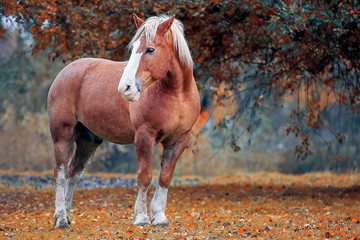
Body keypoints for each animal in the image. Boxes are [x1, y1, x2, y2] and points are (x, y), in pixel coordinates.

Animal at [46, 13, 201, 229]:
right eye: (133, 47)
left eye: (150, 49)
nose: (125, 88)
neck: (177, 93)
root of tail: (65, 72)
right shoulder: (144, 136)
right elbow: (144, 177)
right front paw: (141, 217)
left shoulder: (179, 140)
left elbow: (165, 177)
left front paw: (159, 217)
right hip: (63, 135)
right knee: (60, 173)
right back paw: (60, 219)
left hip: (88, 141)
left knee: (72, 173)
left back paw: (67, 217)